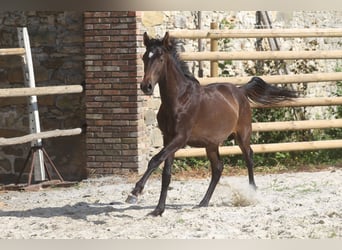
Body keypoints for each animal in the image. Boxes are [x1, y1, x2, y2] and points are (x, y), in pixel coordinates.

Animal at [125, 30, 296, 215]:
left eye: (161, 58)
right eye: (144, 57)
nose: (146, 87)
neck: (179, 99)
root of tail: (240, 91)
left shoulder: (180, 138)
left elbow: (155, 160)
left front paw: (134, 192)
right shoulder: (168, 138)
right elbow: (166, 173)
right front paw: (158, 210)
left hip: (242, 135)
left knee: (248, 157)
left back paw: (252, 192)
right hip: (211, 144)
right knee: (218, 168)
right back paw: (203, 202)